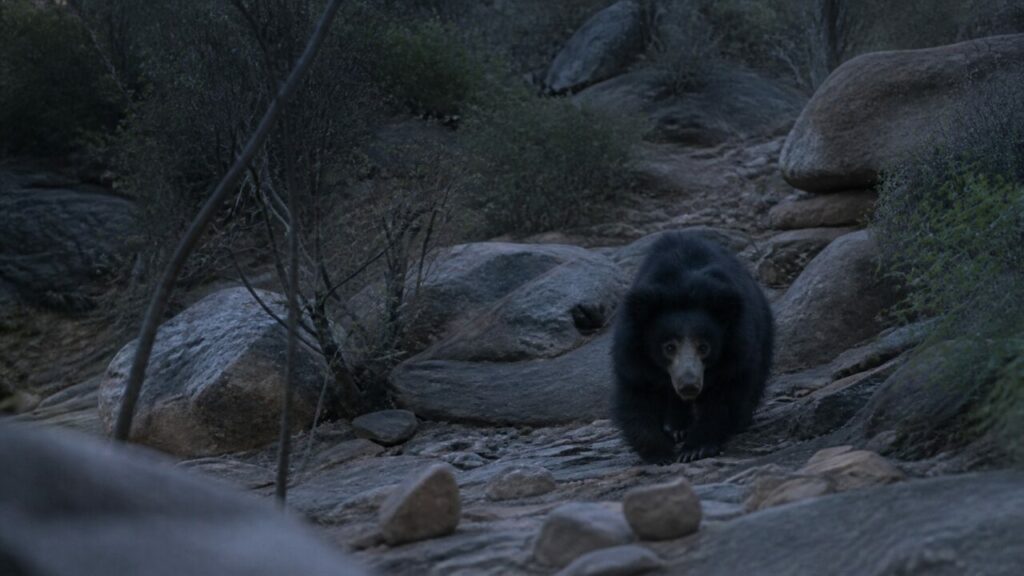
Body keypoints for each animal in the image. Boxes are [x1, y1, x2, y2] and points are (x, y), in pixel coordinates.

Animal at [611, 231, 774, 463]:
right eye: (669, 347)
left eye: (704, 347)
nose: (689, 385)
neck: (682, 288)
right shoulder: (632, 352)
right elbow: (637, 396)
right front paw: (660, 453)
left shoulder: (738, 348)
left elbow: (724, 397)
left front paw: (695, 449)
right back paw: (676, 428)